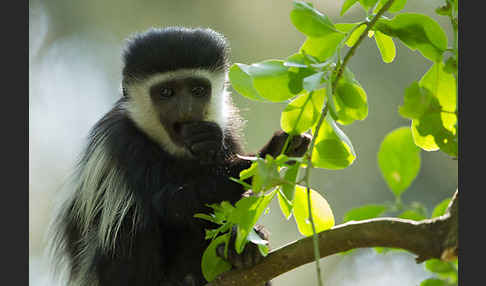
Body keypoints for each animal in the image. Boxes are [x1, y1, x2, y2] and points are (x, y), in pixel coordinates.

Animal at [48, 27, 308, 286]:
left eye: (197, 90)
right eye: (166, 92)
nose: (186, 110)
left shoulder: (229, 128)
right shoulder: (123, 139)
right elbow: (170, 200)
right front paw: (275, 150)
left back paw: (240, 255)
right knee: (130, 217)